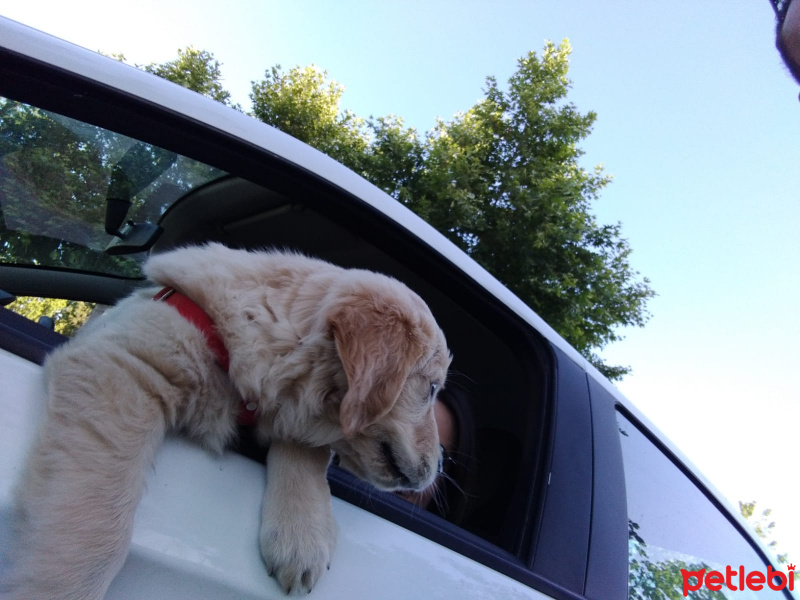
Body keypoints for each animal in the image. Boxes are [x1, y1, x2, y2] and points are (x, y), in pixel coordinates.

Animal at [4, 245, 450, 600]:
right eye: (430, 388)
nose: (439, 468)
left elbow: (306, 447)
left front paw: (302, 535)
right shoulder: (123, 369)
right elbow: (92, 525)